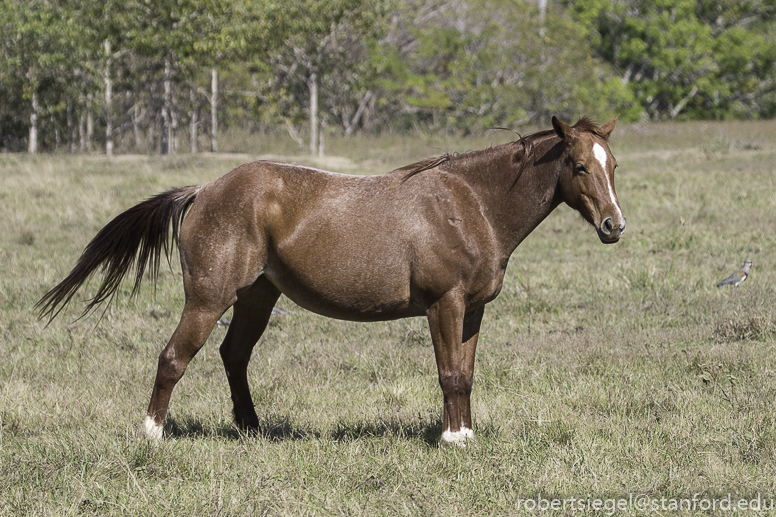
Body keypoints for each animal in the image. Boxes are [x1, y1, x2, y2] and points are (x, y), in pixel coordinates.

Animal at [36, 116, 624, 444]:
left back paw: (251, 428)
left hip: (257, 297)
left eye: (612, 165)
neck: (470, 203)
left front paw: (465, 432)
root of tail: (203, 190)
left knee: (233, 355)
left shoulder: (473, 309)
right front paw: (454, 439)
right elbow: (450, 374)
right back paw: (152, 433)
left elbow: (467, 374)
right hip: (207, 299)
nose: (614, 225)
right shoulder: (444, 305)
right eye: (577, 165)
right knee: (173, 358)